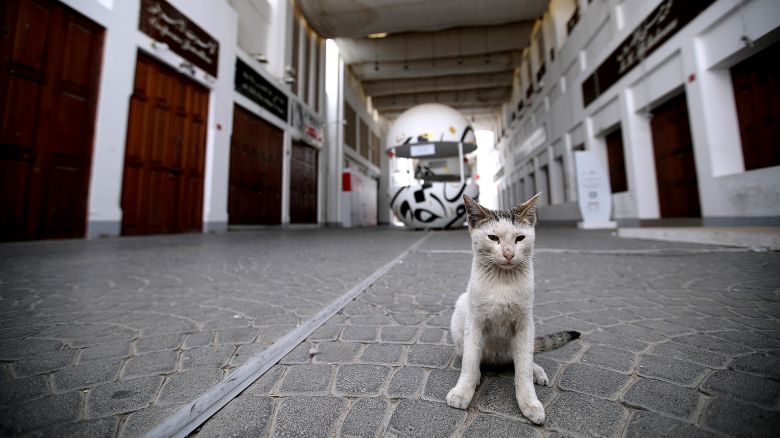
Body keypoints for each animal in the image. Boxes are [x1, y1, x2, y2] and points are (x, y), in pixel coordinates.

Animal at [448, 194, 580, 424]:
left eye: (519, 238)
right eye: (493, 237)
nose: (508, 253)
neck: (503, 279)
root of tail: (497, 358)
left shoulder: (525, 323)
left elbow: (523, 368)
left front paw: (529, 402)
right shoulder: (474, 321)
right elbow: (470, 361)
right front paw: (463, 391)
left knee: (521, 359)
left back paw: (536, 370)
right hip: (461, 310)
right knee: (473, 357)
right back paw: (477, 374)